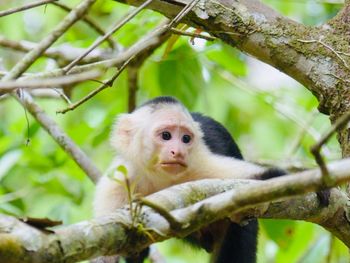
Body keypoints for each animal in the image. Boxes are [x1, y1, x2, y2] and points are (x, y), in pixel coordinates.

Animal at [93, 97, 318, 263]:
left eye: (185, 139)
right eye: (166, 136)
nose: (178, 152)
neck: (162, 178)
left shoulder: (202, 163)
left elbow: (264, 179)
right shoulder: (118, 183)